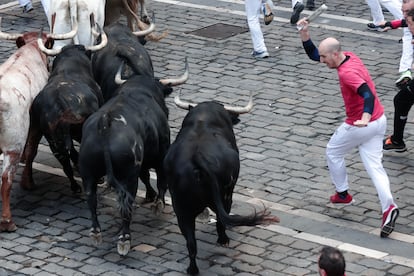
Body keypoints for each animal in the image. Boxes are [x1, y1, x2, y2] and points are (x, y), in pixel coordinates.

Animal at [78, 60, 188, 256]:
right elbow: (161, 180)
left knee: (91, 199)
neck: (138, 89)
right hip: (128, 176)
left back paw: (96, 233)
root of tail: (106, 123)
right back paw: (124, 240)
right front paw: (158, 204)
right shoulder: (162, 152)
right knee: (126, 203)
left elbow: (146, 175)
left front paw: (151, 196)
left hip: (88, 172)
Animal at [163, 94, 280, 274]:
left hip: (181, 209)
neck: (203, 119)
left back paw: (192, 269)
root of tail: (197, 160)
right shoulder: (229, 192)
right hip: (223, 195)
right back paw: (223, 239)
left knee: (191, 242)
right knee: (220, 218)